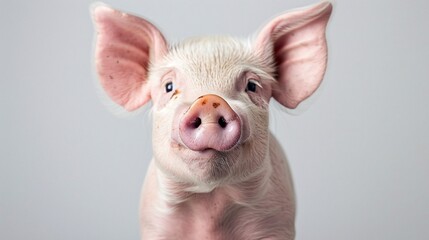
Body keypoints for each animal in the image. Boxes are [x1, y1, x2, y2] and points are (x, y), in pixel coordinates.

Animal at [90, 0, 332, 239]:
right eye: (169, 87)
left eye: (252, 86)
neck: (210, 202)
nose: (209, 100)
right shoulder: (155, 224)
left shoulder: (276, 224)